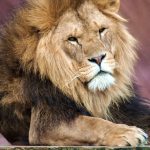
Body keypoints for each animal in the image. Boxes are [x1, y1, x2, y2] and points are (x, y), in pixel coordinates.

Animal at [0, 0, 150, 146]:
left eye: (101, 30)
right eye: (72, 39)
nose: (98, 58)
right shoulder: (45, 125)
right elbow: (92, 123)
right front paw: (126, 132)